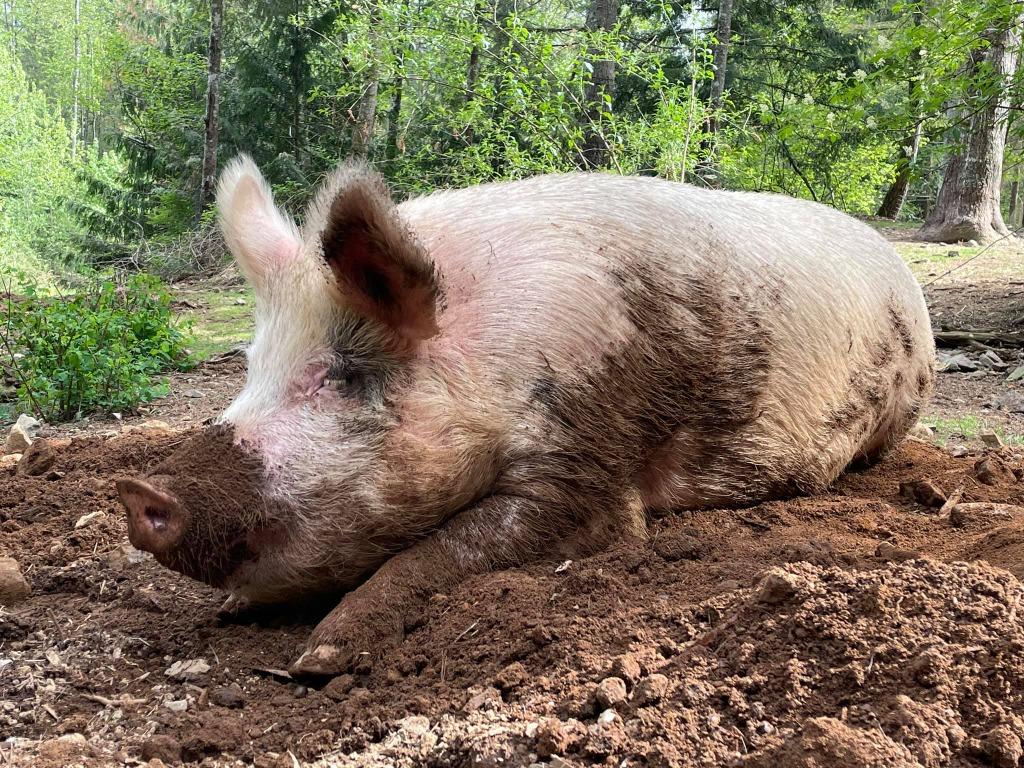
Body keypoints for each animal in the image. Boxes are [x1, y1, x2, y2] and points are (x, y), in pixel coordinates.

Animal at [117, 156, 934, 677]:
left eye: (344, 376)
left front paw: (318, 657)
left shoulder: (587, 456)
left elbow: (448, 547)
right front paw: (232, 612)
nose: (139, 491)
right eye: (251, 366)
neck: (496, 349)